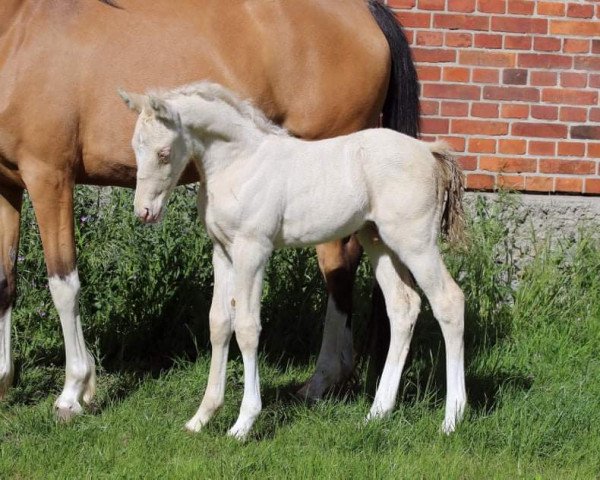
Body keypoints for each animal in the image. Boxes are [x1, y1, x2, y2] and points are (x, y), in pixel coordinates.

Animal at [0, 0, 420, 420]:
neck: (19, 31)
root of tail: (363, 12)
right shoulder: (6, 186)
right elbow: (6, 281)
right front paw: (5, 380)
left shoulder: (49, 177)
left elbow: (63, 283)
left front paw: (74, 392)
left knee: (337, 266)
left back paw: (323, 380)